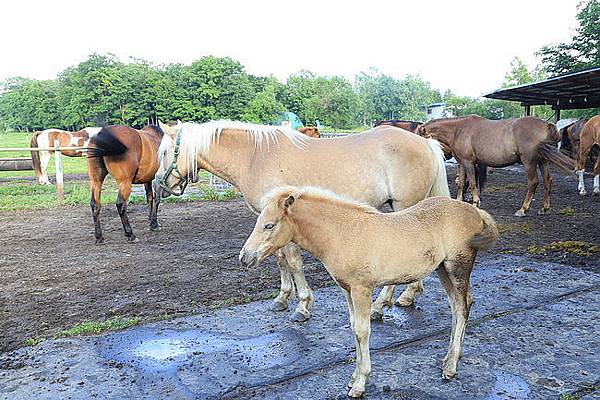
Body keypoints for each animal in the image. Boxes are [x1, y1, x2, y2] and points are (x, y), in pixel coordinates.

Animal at [155, 119, 450, 322]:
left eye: (165, 153)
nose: (158, 185)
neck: (255, 157)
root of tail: (425, 143)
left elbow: (294, 262)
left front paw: (303, 306)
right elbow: (280, 260)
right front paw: (282, 297)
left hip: (404, 207)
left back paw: (381, 305)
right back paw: (407, 296)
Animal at [239, 187, 496, 396]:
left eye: (269, 225)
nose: (244, 258)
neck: (342, 233)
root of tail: (476, 213)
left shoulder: (361, 289)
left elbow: (362, 331)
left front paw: (360, 383)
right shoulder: (346, 289)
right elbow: (354, 328)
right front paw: (353, 377)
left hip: (457, 267)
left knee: (462, 307)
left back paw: (451, 366)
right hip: (443, 269)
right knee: (458, 305)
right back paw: (453, 356)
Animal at [418, 114, 576, 217]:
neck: (458, 130)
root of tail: (546, 124)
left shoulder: (469, 163)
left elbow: (473, 183)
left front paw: (475, 202)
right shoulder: (462, 163)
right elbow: (462, 183)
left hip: (529, 162)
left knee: (533, 182)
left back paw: (523, 209)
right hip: (542, 161)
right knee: (548, 181)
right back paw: (545, 208)